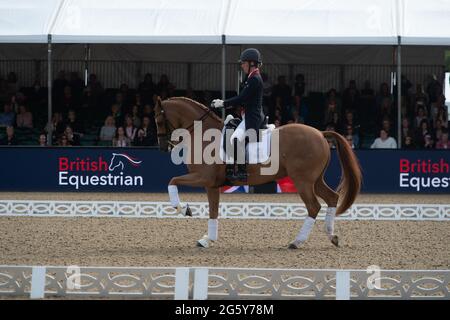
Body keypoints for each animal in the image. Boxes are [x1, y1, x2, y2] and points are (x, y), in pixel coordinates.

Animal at [155, 96, 362, 249]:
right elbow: (213, 211)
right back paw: (332, 236)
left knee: (314, 207)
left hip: (303, 181)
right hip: (315, 180)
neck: (203, 135)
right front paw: (207, 239)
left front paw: (183, 209)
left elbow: (172, 181)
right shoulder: (211, 184)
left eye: (157, 120)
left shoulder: (204, 178)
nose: (163, 147)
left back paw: (296, 242)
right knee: (332, 198)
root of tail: (320, 133)